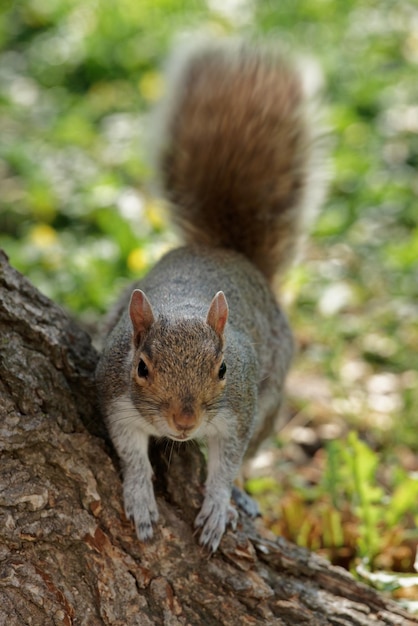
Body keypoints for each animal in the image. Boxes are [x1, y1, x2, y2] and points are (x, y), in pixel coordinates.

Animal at [96, 35, 324, 552]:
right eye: (142, 368)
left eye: (222, 369)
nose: (184, 423)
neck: (183, 306)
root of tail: (226, 252)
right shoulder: (116, 400)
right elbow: (131, 454)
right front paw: (140, 498)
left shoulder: (238, 409)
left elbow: (227, 461)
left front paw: (219, 503)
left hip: (270, 400)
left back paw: (240, 496)